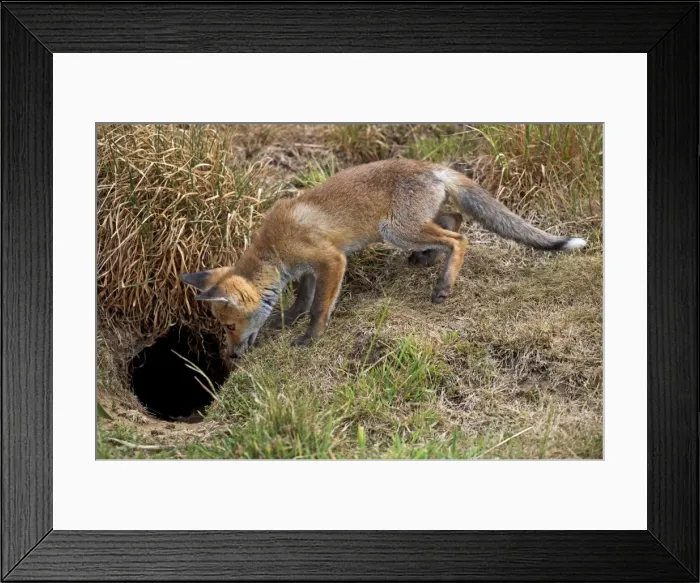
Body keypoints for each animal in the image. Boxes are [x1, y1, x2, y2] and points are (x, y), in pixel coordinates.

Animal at [181, 159, 586, 358]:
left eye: (228, 327)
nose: (231, 357)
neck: (274, 249)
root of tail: (429, 165)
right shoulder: (308, 269)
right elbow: (301, 301)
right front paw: (287, 321)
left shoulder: (330, 261)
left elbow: (318, 308)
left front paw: (310, 337)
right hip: (410, 225)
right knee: (455, 219)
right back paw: (426, 259)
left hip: (395, 229)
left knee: (459, 237)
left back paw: (443, 284)